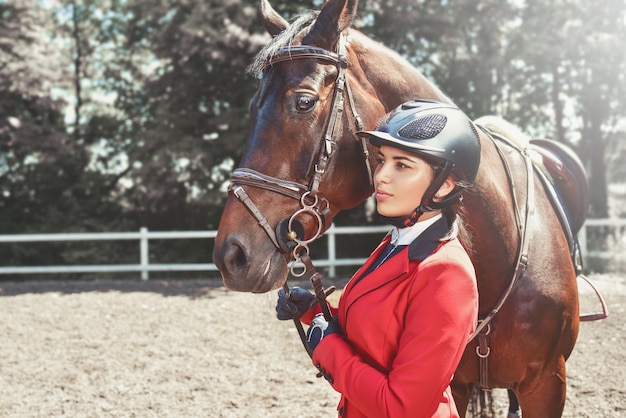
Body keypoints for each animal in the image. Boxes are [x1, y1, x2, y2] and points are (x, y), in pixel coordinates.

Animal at [214, 1, 584, 416]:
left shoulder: (548, 385)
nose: (231, 255)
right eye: (252, 107)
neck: (495, 255)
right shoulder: (454, 384)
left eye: (303, 102)